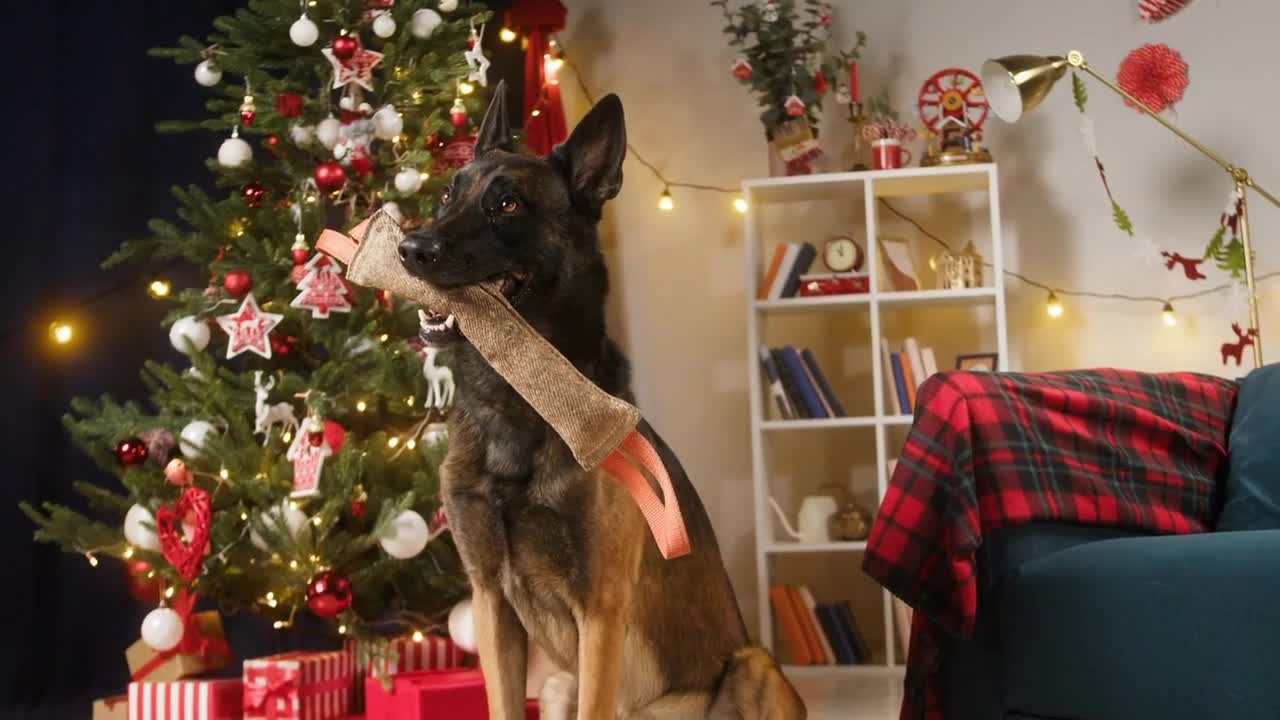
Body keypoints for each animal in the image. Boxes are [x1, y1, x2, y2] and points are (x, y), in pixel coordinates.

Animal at [394, 81, 803, 712]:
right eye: (446, 195)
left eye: (507, 206)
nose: (411, 248)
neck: (520, 400)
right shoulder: (491, 605)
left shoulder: (600, 613)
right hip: (556, 683)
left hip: (753, 665)